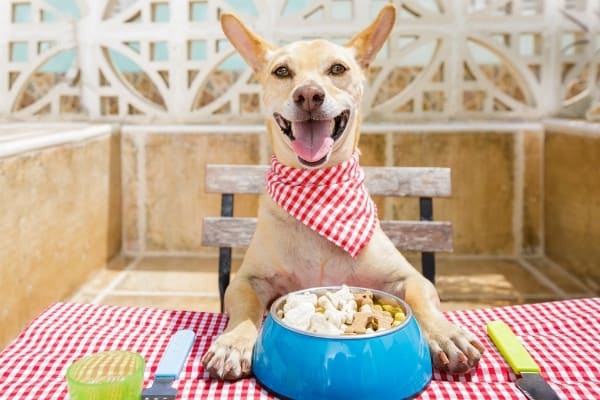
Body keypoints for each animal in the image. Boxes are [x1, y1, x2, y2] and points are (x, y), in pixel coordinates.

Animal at [202, 6, 482, 382]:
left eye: (337, 68)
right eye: (282, 71)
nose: (308, 95)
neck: (317, 192)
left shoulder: (409, 277)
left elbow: (420, 298)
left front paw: (446, 334)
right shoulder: (248, 280)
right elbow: (246, 306)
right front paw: (234, 341)